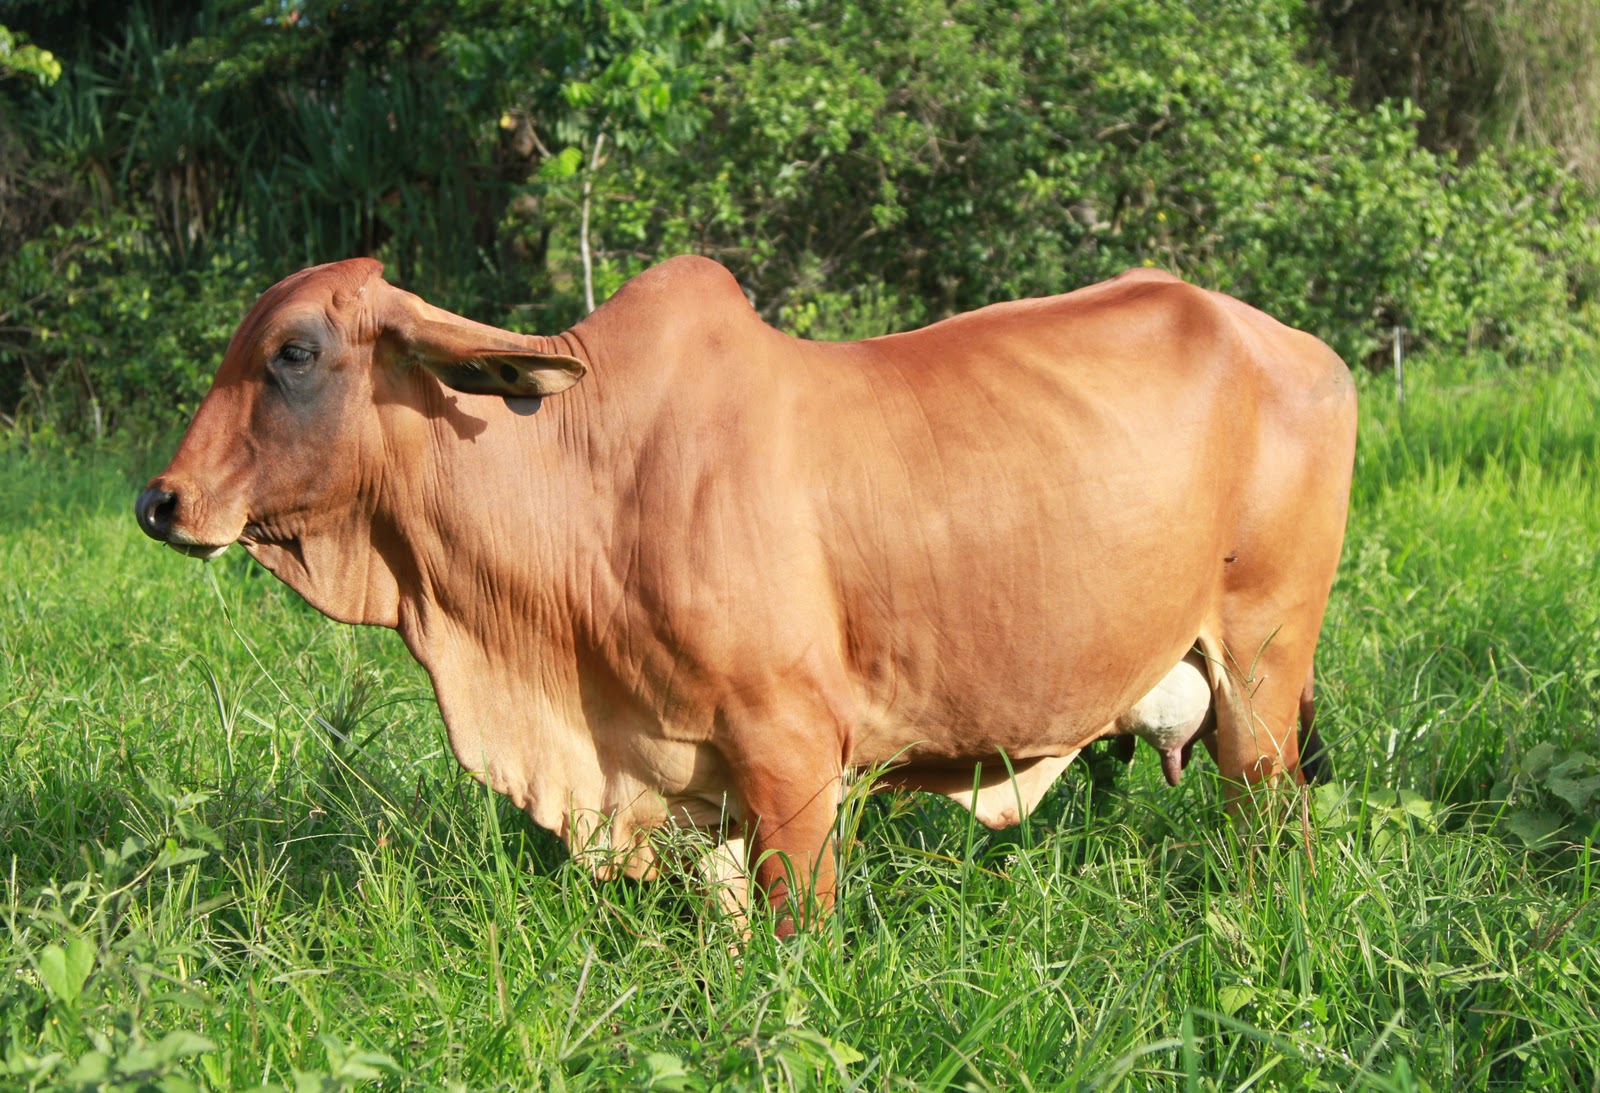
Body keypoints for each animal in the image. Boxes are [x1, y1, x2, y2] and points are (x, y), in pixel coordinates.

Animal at [136, 256, 1357, 931]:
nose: (160, 499)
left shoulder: (793, 754)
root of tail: (1299, 344)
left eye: (294, 352)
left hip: (1260, 670)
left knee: (1275, 825)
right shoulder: (703, 785)